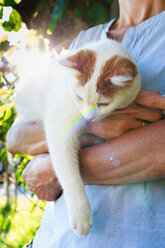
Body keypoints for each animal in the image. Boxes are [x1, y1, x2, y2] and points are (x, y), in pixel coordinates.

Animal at [13, 39, 141, 236]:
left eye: (104, 103)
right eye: (79, 97)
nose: (89, 117)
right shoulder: (59, 128)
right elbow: (70, 175)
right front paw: (81, 214)